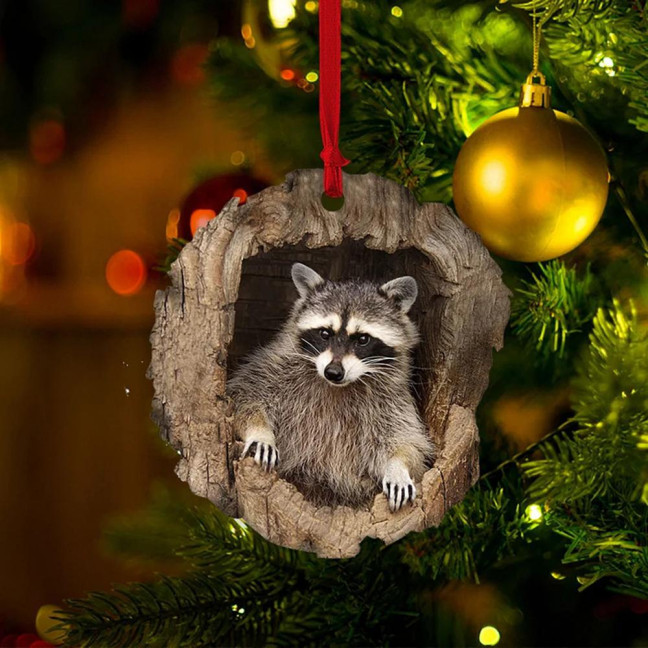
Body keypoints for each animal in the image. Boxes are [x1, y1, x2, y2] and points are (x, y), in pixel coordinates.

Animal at [226, 263, 435, 511]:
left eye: (362, 339)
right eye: (325, 333)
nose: (333, 372)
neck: (337, 386)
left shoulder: (392, 399)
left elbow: (404, 439)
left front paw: (398, 467)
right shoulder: (275, 367)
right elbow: (246, 396)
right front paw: (261, 432)